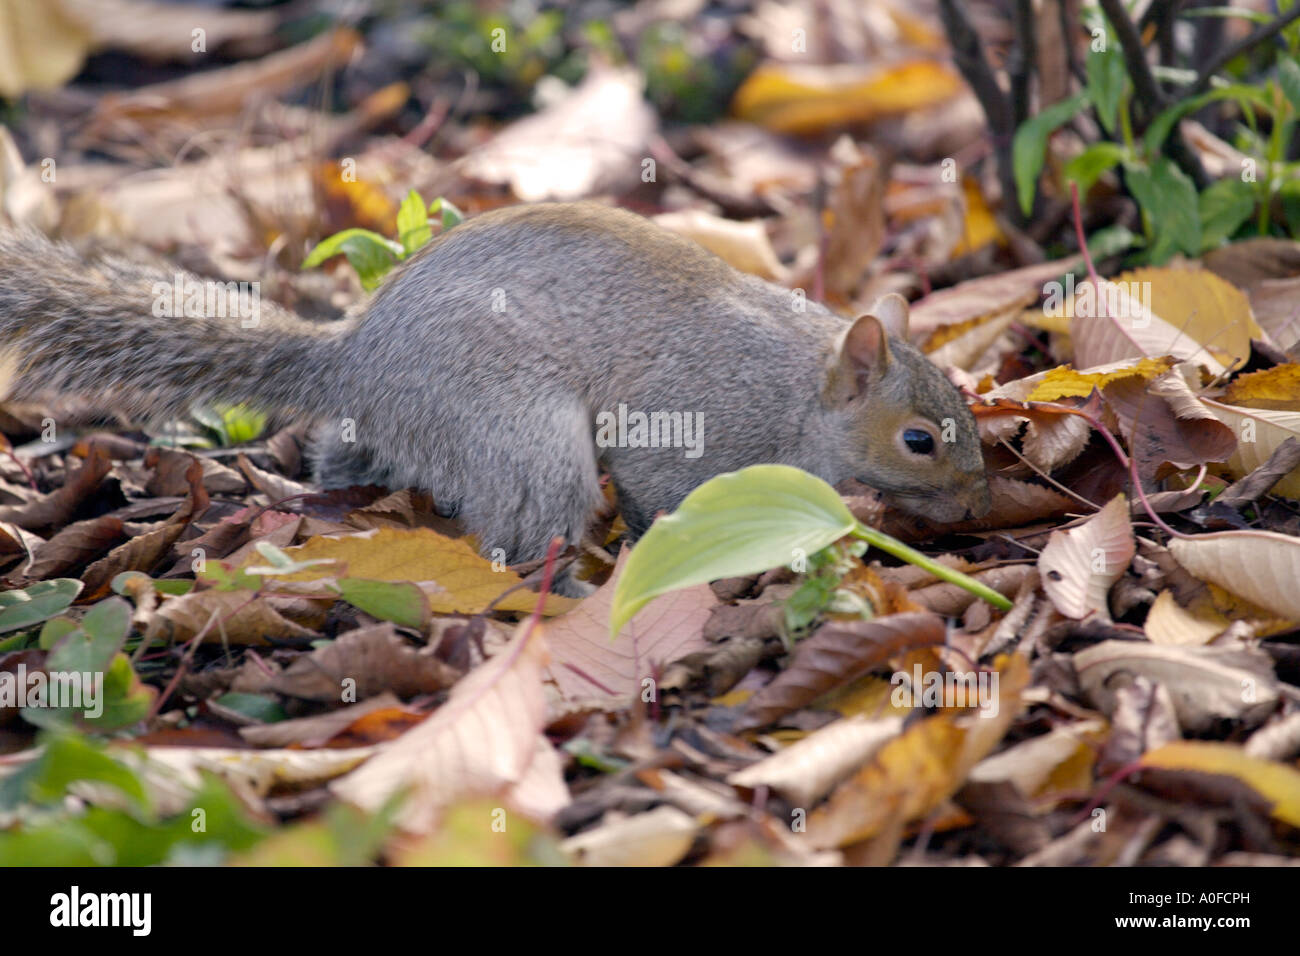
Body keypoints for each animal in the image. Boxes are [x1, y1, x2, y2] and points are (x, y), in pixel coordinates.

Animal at [0, 202, 987, 572]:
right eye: (920, 440)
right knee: (516, 533)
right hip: (517, 429)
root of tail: (356, 356)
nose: (980, 498)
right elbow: (660, 490)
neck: (797, 387)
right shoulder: (697, 417)